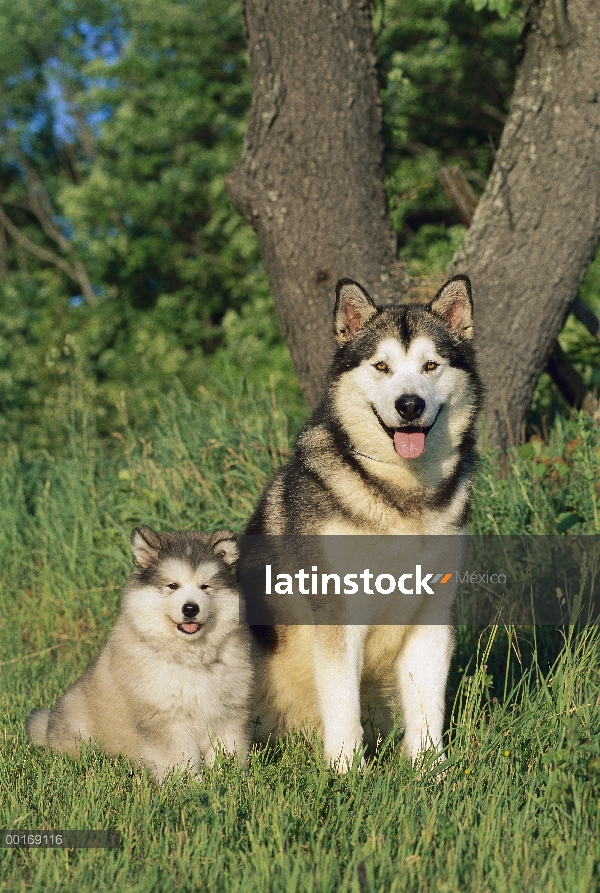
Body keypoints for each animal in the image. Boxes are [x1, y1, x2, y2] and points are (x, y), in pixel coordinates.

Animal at [27, 528, 253, 784]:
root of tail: (48, 729)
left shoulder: (230, 711)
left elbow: (229, 750)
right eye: (172, 585)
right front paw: (188, 785)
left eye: (205, 586)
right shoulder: (165, 717)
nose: (190, 608)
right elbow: (178, 757)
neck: (190, 655)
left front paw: (232, 780)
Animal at [244, 276, 482, 772]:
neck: (401, 497)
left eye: (431, 365)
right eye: (382, 366)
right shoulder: (337, 612)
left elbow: (428, 704)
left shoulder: (432, 614)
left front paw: (431, 772)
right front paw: (347, 772)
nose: (409, 405)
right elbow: (342, 703)